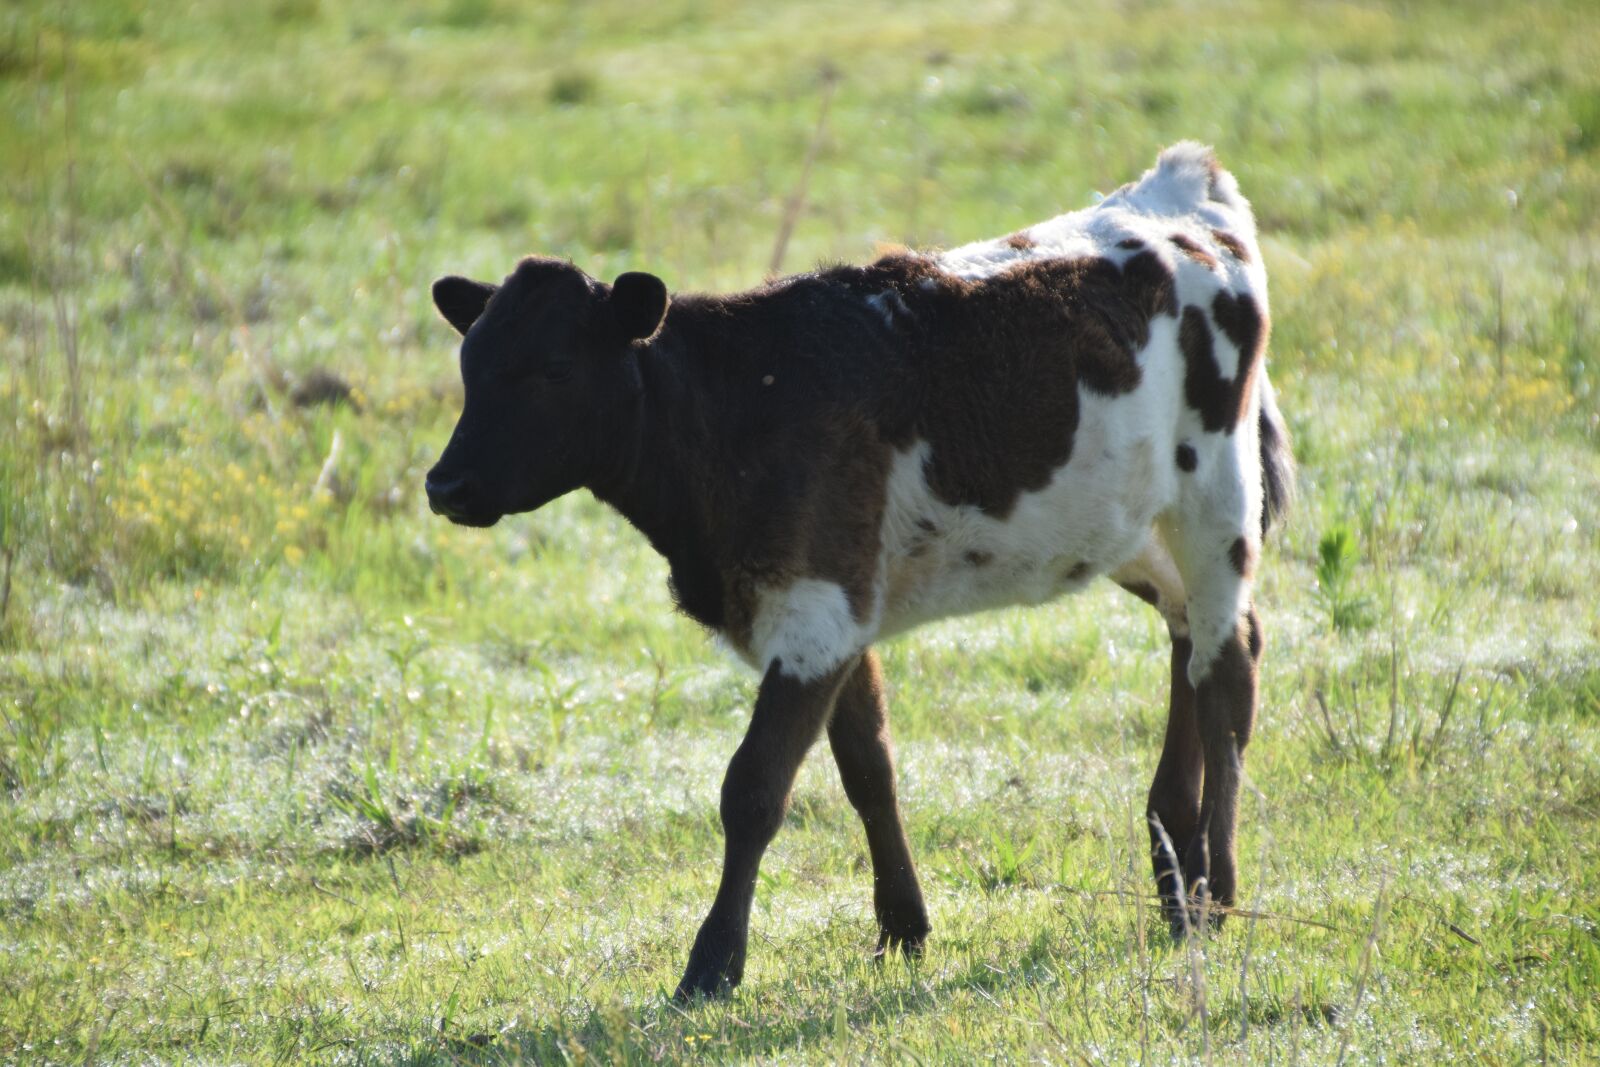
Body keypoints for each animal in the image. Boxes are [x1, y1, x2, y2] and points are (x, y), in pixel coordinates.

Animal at [424, 142, 1294, 999]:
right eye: (469, 361)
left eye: (554, 368)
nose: (444, 484)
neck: (731, 409)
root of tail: (1179, 184)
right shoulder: (839, 606)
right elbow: (868, 765)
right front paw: (904, 925)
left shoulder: (816, 607)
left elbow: (754, 787)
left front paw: (712, 963)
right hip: (1132, 522)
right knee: (1194, 639)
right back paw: (1174, 870)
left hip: (1216, 494)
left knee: (1228, 673)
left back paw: (1216, 890)